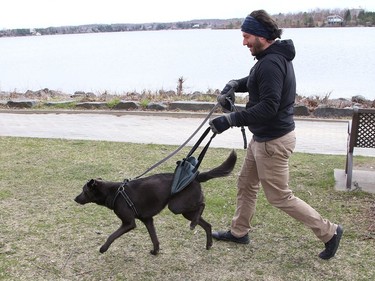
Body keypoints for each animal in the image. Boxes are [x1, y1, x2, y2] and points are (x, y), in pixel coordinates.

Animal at [74, 151, 236, 254]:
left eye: (84, 191)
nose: (75, 198)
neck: (114, 192)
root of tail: (195, 177)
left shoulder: (129, 223)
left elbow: (112, 235)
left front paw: (103, 248)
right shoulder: (147, 220)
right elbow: (154, 238)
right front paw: (155, 251)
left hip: (176, 207)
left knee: (203, 203)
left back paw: (193, 224)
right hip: (185, 211)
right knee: (207, 224)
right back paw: (207, 242)